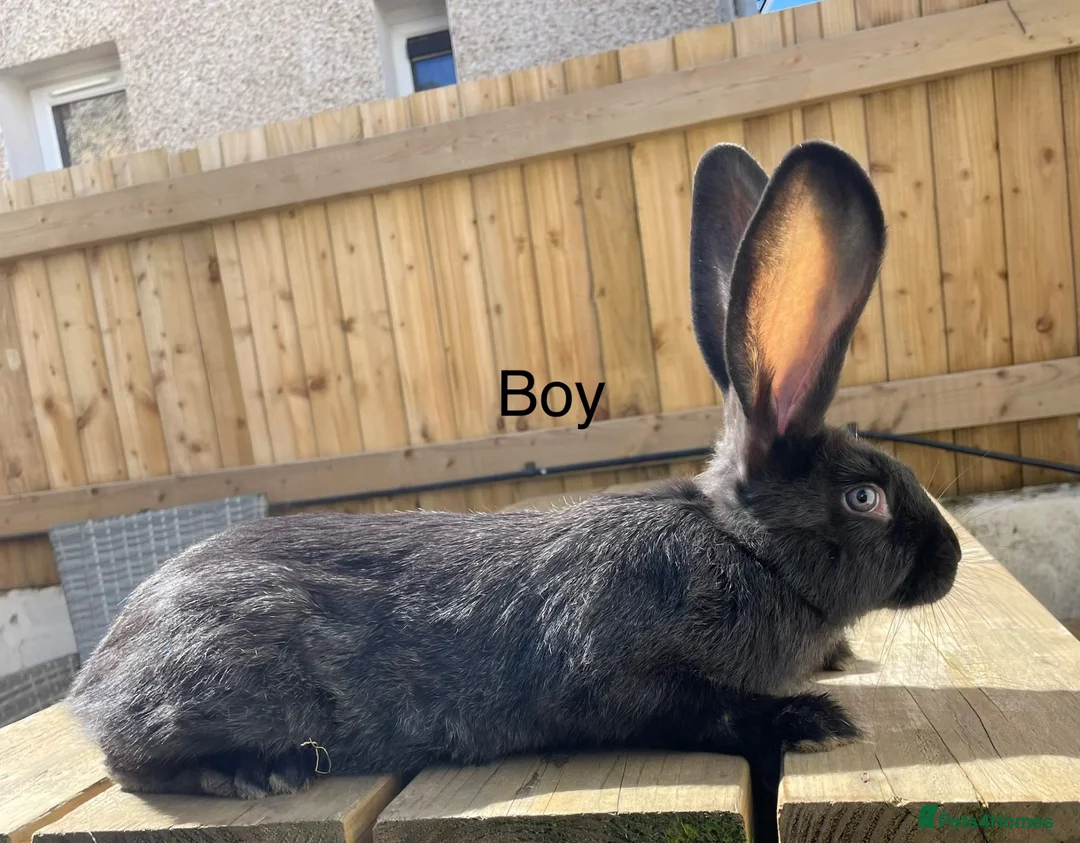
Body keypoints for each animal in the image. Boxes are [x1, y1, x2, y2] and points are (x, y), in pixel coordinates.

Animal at [65, 140, 961, 800]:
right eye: (864, 496)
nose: (950, 563)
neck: (745, 548)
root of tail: (97, 679)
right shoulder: (627, 674)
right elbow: (703, 712)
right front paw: (811, 718)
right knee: (131, 765)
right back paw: (257, 771)